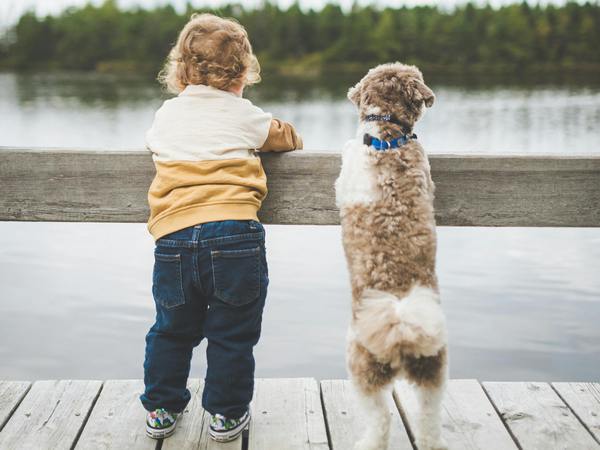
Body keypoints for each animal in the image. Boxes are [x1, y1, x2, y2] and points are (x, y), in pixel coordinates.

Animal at [336, 63, 448, 450]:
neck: (388, 137)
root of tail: (401, 333)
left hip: (362, 369)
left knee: (380, 420)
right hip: (432, 372)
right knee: (428, 423)